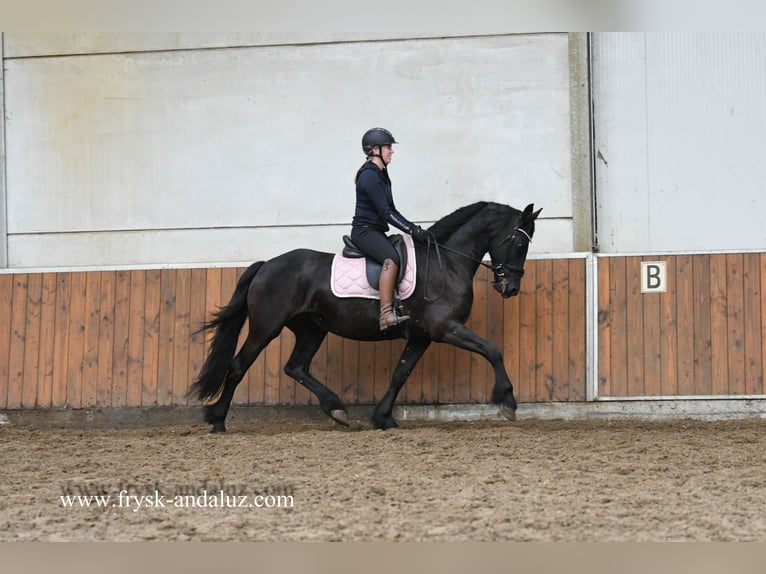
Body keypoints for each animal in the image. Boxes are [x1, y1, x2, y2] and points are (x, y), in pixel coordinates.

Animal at [189, 201, 542, 433]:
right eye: (520, 242)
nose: (510, 287)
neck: (445, 262)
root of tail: (266, 265)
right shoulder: (445, 329)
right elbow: (493, 350)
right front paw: (507, 401)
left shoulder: (422, 336)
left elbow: (400, 374)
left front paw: (384, 418)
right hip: (266, 327)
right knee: (238, 366)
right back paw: (217, 421)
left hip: (311, 329)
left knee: (295, 367)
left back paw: (336, 408)